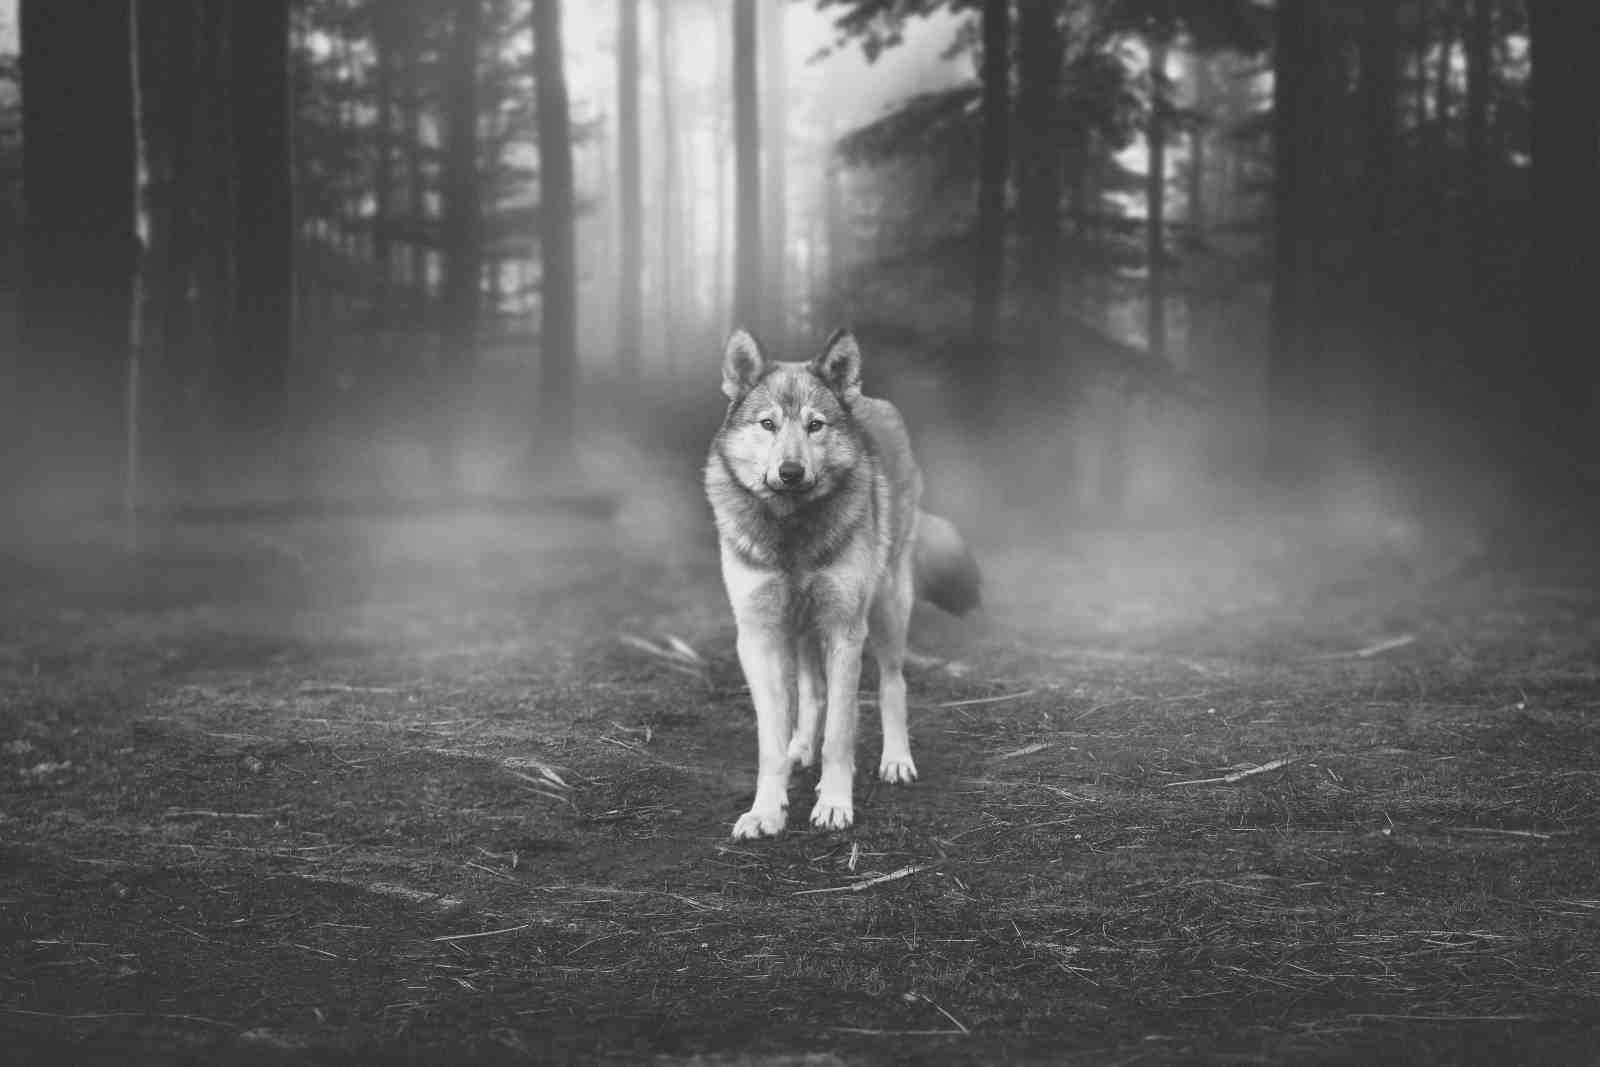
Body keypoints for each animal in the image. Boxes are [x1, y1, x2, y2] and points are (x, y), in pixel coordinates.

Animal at [705, 328, 980, 839]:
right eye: (768, 424)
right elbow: (770, 742)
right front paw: (766, 810)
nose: (791, 472)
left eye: (815, 425)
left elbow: (840, 733)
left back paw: (896, 760)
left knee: (893, 684)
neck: (792, 531)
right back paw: (799, 749)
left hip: (887, 611)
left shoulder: (844, 632)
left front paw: (833, 804)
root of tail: (871, 399)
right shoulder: (758, 638)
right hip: (800, 628)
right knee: (811, 694)